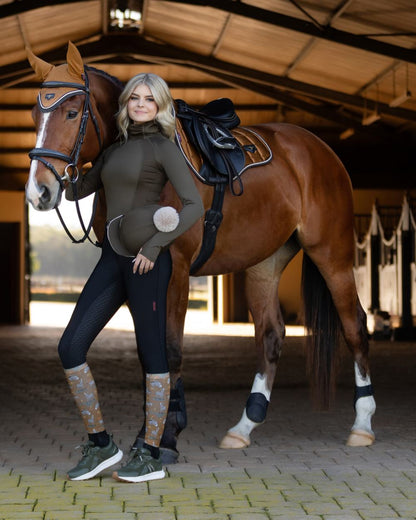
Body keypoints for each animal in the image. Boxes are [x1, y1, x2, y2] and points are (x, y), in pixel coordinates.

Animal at [26, 42, 376, 462]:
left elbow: (170, 349)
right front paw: (153, 432)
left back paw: (362, 425)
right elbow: (149, 351)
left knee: (355, 325)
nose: (39, 192)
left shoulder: (174, 268)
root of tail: (322, 150)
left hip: (332, 254)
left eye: (72, 112)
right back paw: (244, 426)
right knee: (271, 334)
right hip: (265, 263)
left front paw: (165, 436)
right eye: (34, 113)